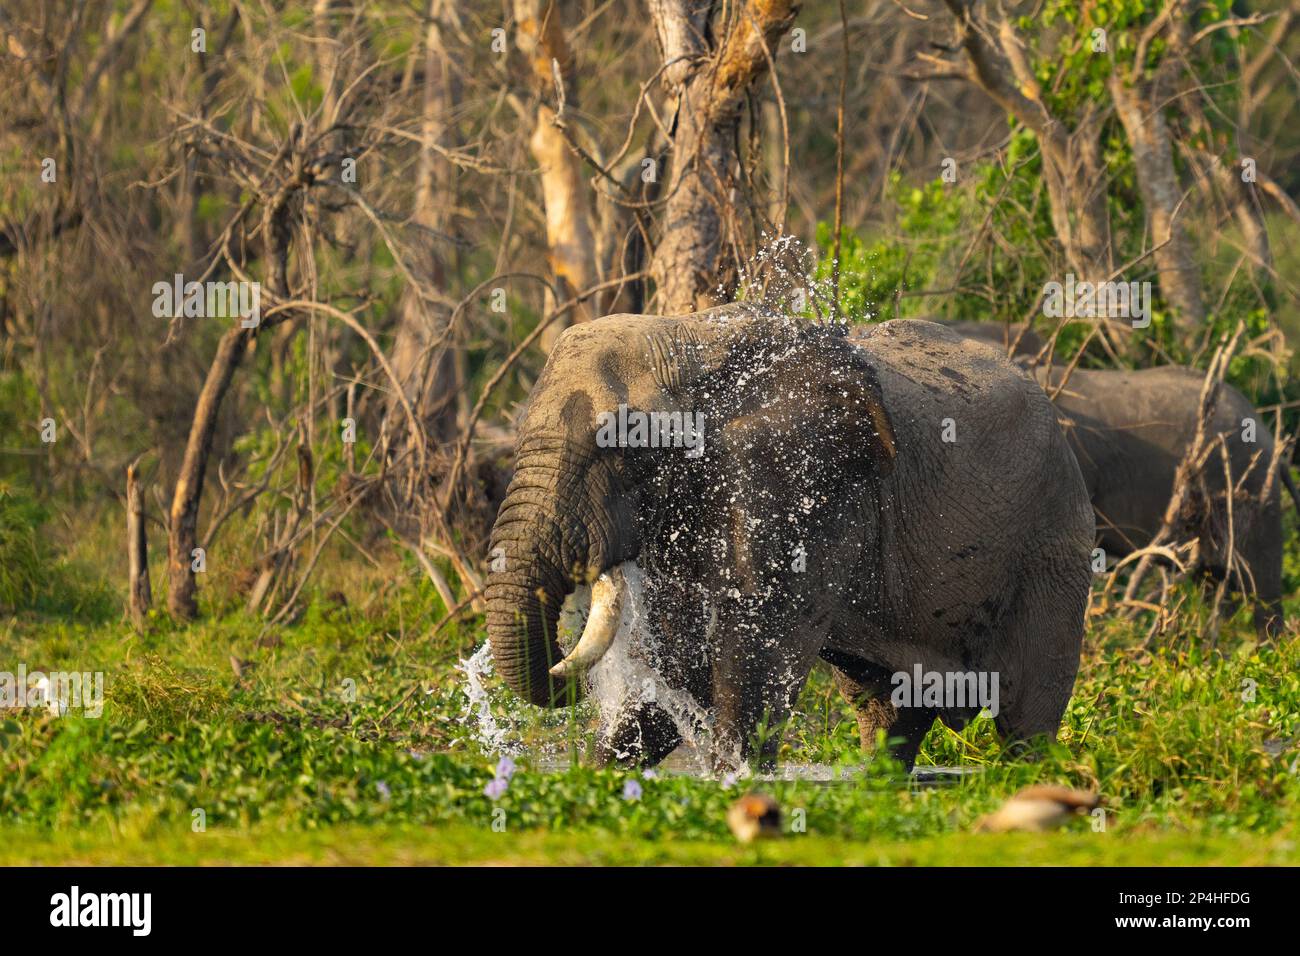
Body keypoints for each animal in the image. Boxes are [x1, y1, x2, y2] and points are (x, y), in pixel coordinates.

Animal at [488, 310, 1097, 775]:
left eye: (624, 451)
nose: (566, 676)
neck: (692, 337)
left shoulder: (811, 489)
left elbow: (753, 662)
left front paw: (735, 784)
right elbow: (682, 670)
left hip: (1053, 548)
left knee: (1025, 722)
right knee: (888, 713)